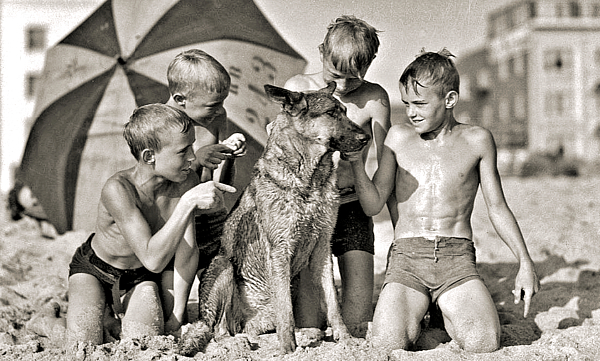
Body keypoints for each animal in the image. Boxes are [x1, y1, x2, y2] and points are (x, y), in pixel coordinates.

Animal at [180, 81, 370, 354]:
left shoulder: (322, 248)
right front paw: (289, 350)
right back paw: (237, 343)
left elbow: (333, 303)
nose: (366, 138)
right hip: (223, 266)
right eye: (331, 113)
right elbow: (286, 311)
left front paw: (346, 340)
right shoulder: (280, 249)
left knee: (249, 328)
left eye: (344, 111)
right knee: (217, 329)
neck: (308, 178)